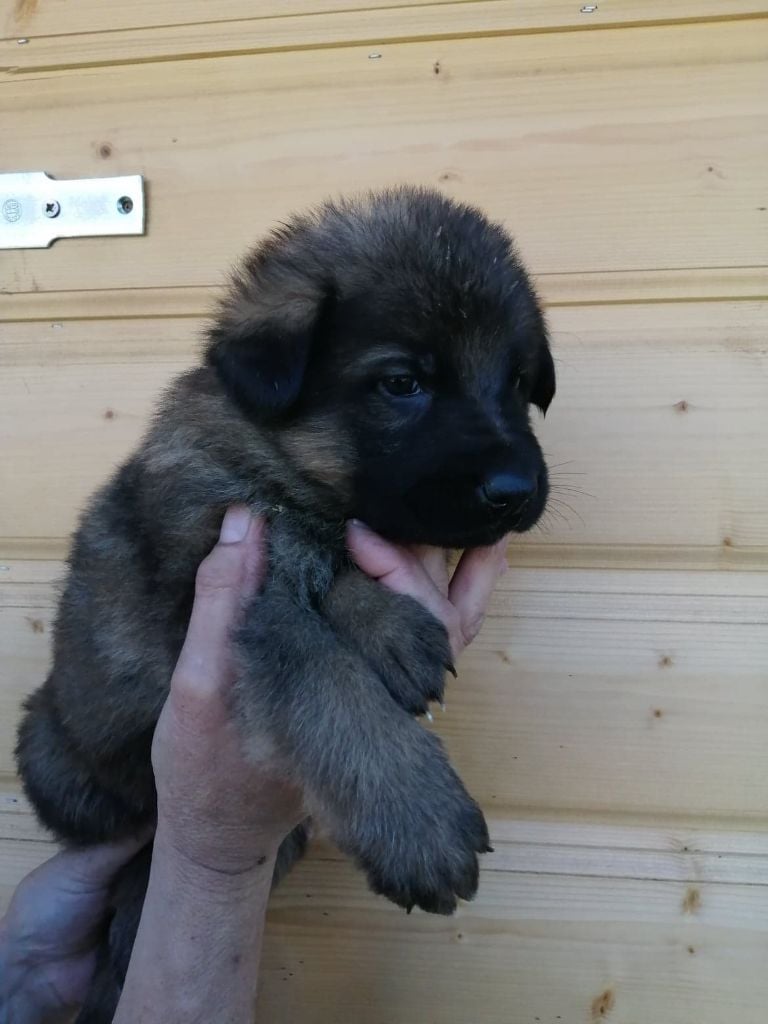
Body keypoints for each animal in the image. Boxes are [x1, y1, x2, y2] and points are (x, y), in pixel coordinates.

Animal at [12, 188, 552, 1019]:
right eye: (404, 383)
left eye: (521, 384)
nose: (515, 491)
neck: (283, 460)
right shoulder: (226, 578)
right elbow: (326, 677)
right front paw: (418, 820)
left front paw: (387, 628)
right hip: (57, 754)